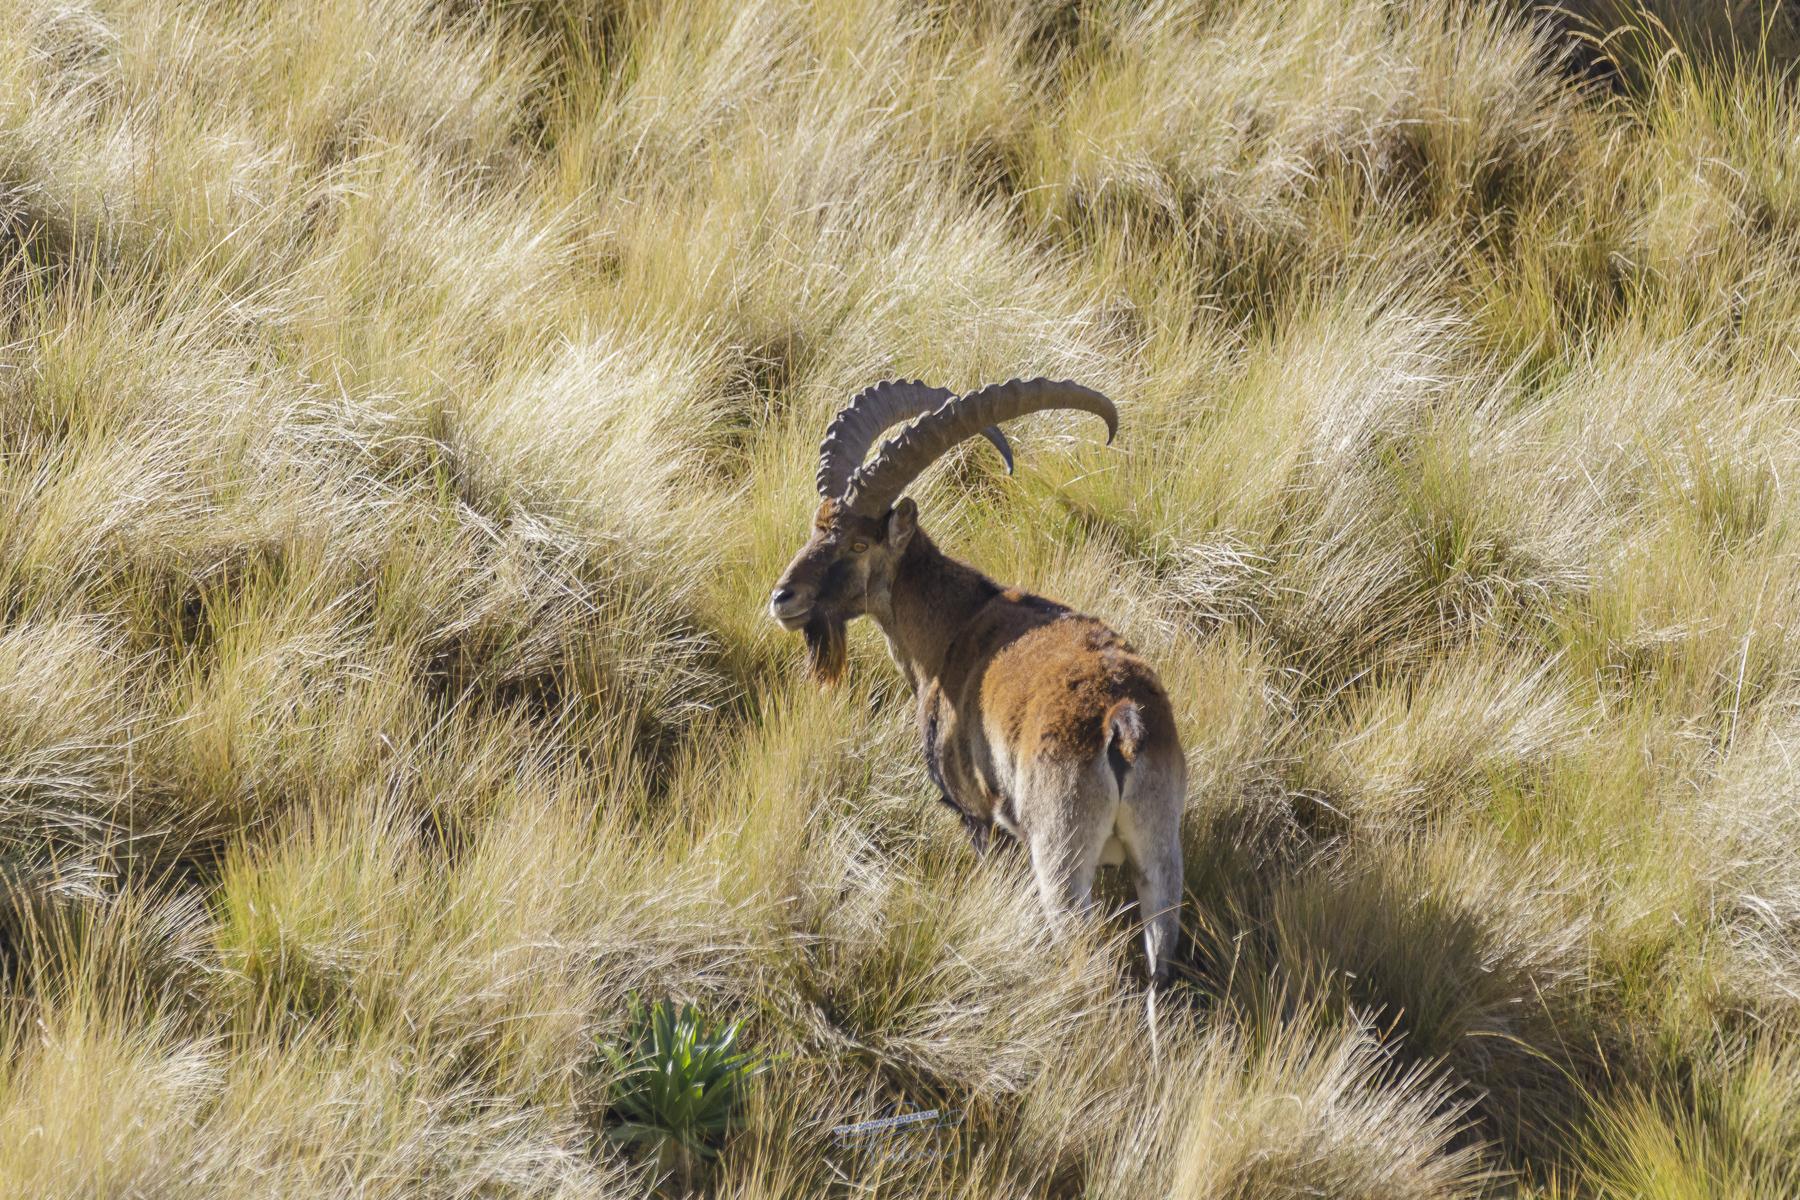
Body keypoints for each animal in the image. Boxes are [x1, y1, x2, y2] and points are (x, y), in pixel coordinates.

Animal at [769, 378, 1186, 992]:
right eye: (815, 529)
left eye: (858, 545)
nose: (784, 599)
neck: (953, 625)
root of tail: (1122, 723)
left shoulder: (978, 817)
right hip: (1158, 856)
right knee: (1161, 960)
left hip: (1059, 857)